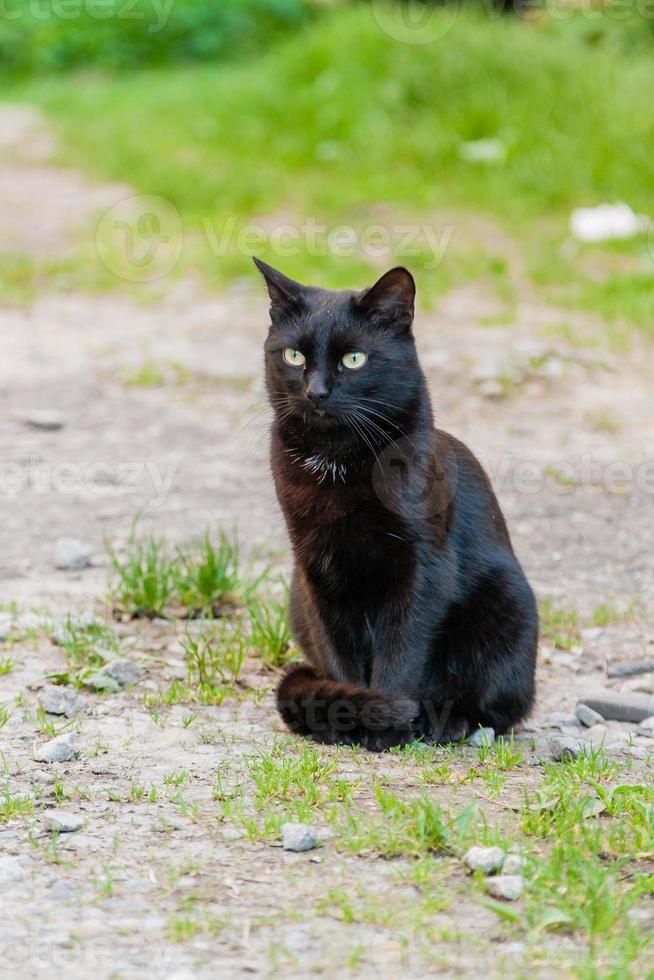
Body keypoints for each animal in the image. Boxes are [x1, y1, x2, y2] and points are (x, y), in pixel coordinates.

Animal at [256, 256, 540, 748]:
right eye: (294, 356)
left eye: (354, 359)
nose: (316, 392)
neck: (338, 463)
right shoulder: (314, 568)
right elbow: (338, 651)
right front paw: (354, 712)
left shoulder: (422, 567)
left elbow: (402, 650)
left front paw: (386, 721)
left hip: (508, 605)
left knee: (498, 706)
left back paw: (450, 721)